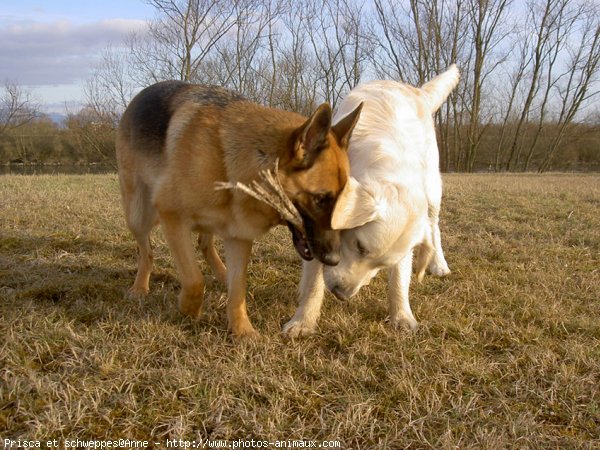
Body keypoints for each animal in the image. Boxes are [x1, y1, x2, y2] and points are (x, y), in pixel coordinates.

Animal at [116, 81, 360, 336]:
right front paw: (188, 309)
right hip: (138, 214)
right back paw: (140, 287)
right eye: (320, 199)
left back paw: (223, 274)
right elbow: (194, 279)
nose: (333, 260)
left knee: (205, 244)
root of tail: (139, 97)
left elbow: (238, 289)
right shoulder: (172, 218)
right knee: (147, 252)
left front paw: (242, 330)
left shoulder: (238, 236)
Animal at [284, 65, 458, 336]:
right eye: (360, 246)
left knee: (434, 228)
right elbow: (313, 282)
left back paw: (438, 263)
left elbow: (399, 280)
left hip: (432, 191)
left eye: (381, 264)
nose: (342, 295)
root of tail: (417, 91)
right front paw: (303, 322)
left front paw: (402, 316)